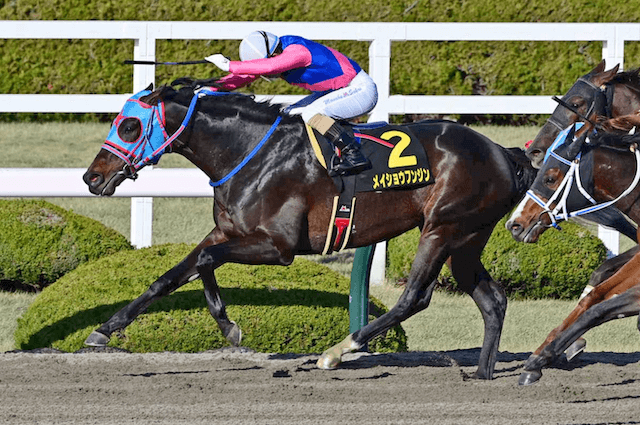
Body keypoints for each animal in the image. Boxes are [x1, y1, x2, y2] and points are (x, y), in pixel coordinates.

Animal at [82, 82, 536, 378]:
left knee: (414, 297)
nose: (91, 177)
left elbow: (207, 262)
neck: (251, 154)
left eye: (128, 126)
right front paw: (103, 330)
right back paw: (482, 373)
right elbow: (168, 278)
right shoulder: (225, 233)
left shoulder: (277, 246)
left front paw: (230, 328)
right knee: (492, 300)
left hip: (442, 227)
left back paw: (338, 351)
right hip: (468, 238)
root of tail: (503, 152)